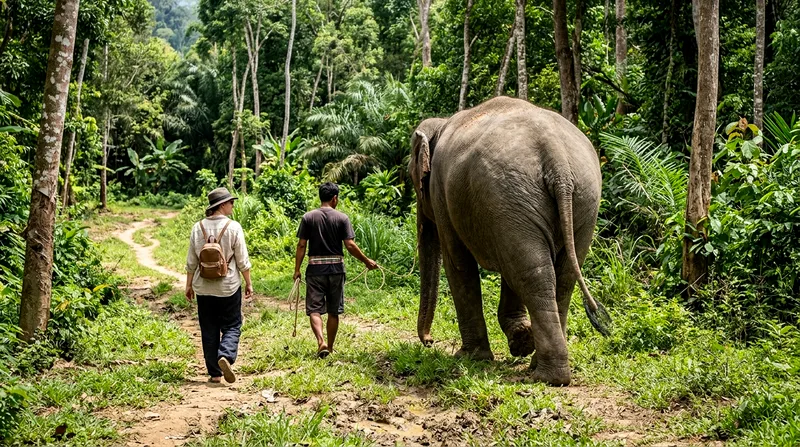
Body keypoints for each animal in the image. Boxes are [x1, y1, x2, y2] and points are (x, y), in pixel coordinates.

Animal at [409, 96, 610, 386]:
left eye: (414, 180)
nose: (429, 341)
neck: (442, 123)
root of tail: (557, 158)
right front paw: (520, 340)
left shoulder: (441, 194)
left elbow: (457, 263)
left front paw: (470, 357)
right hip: (569, 201)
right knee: (554, 276)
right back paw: (546, 368)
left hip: (518, 196)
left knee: (534, 275)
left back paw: (547, 375)